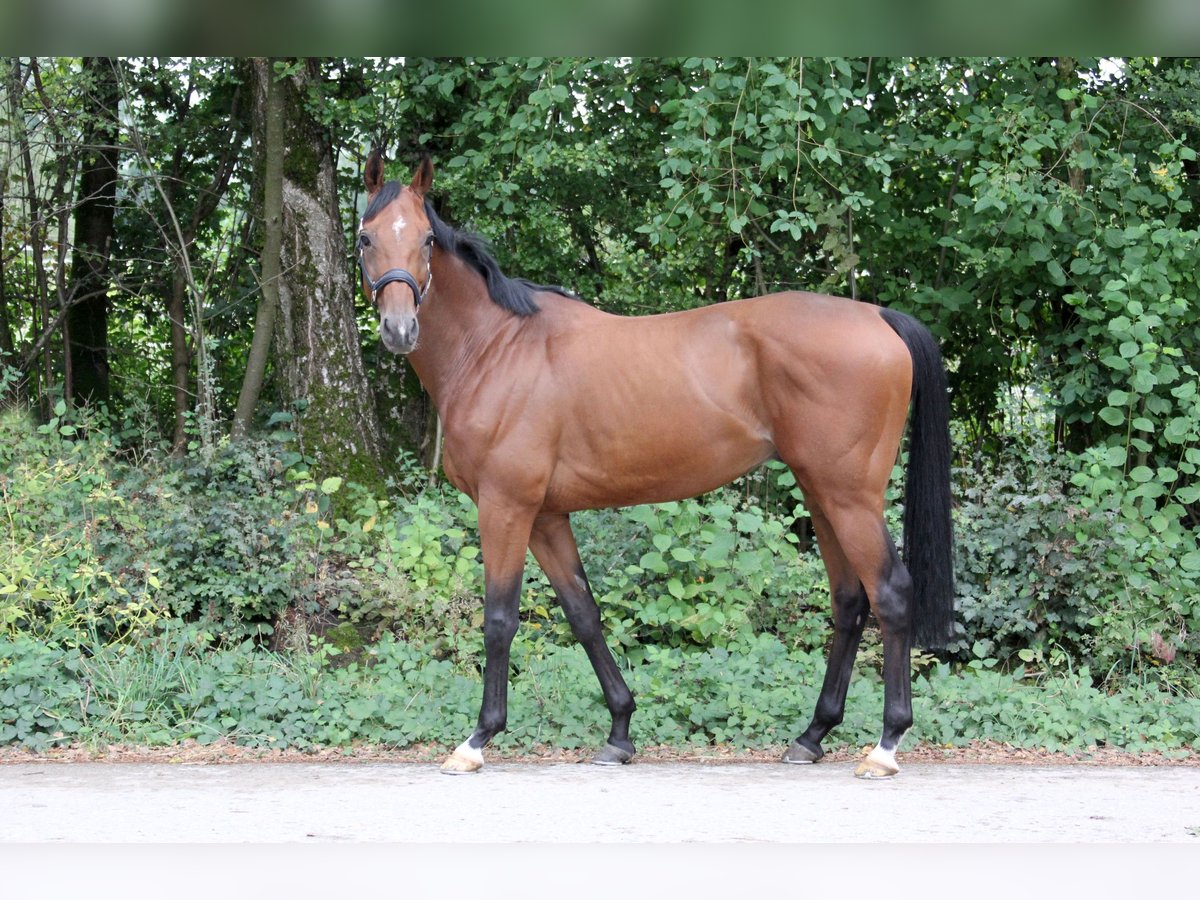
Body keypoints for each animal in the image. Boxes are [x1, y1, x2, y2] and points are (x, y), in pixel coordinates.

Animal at [355, 151, 955, 777]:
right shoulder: (545, 517)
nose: (399, 329)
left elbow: (499, 620)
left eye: (426, 240)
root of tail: (879, 317)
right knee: (849, 602)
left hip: (850, 496)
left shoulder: (505, 507)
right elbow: (584, 615)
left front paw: (476, 740)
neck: (496, 348)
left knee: (891, 594)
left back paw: (885, 745)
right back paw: (812, 735)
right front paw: (619, 732)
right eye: (366, 237)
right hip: (821, 493)